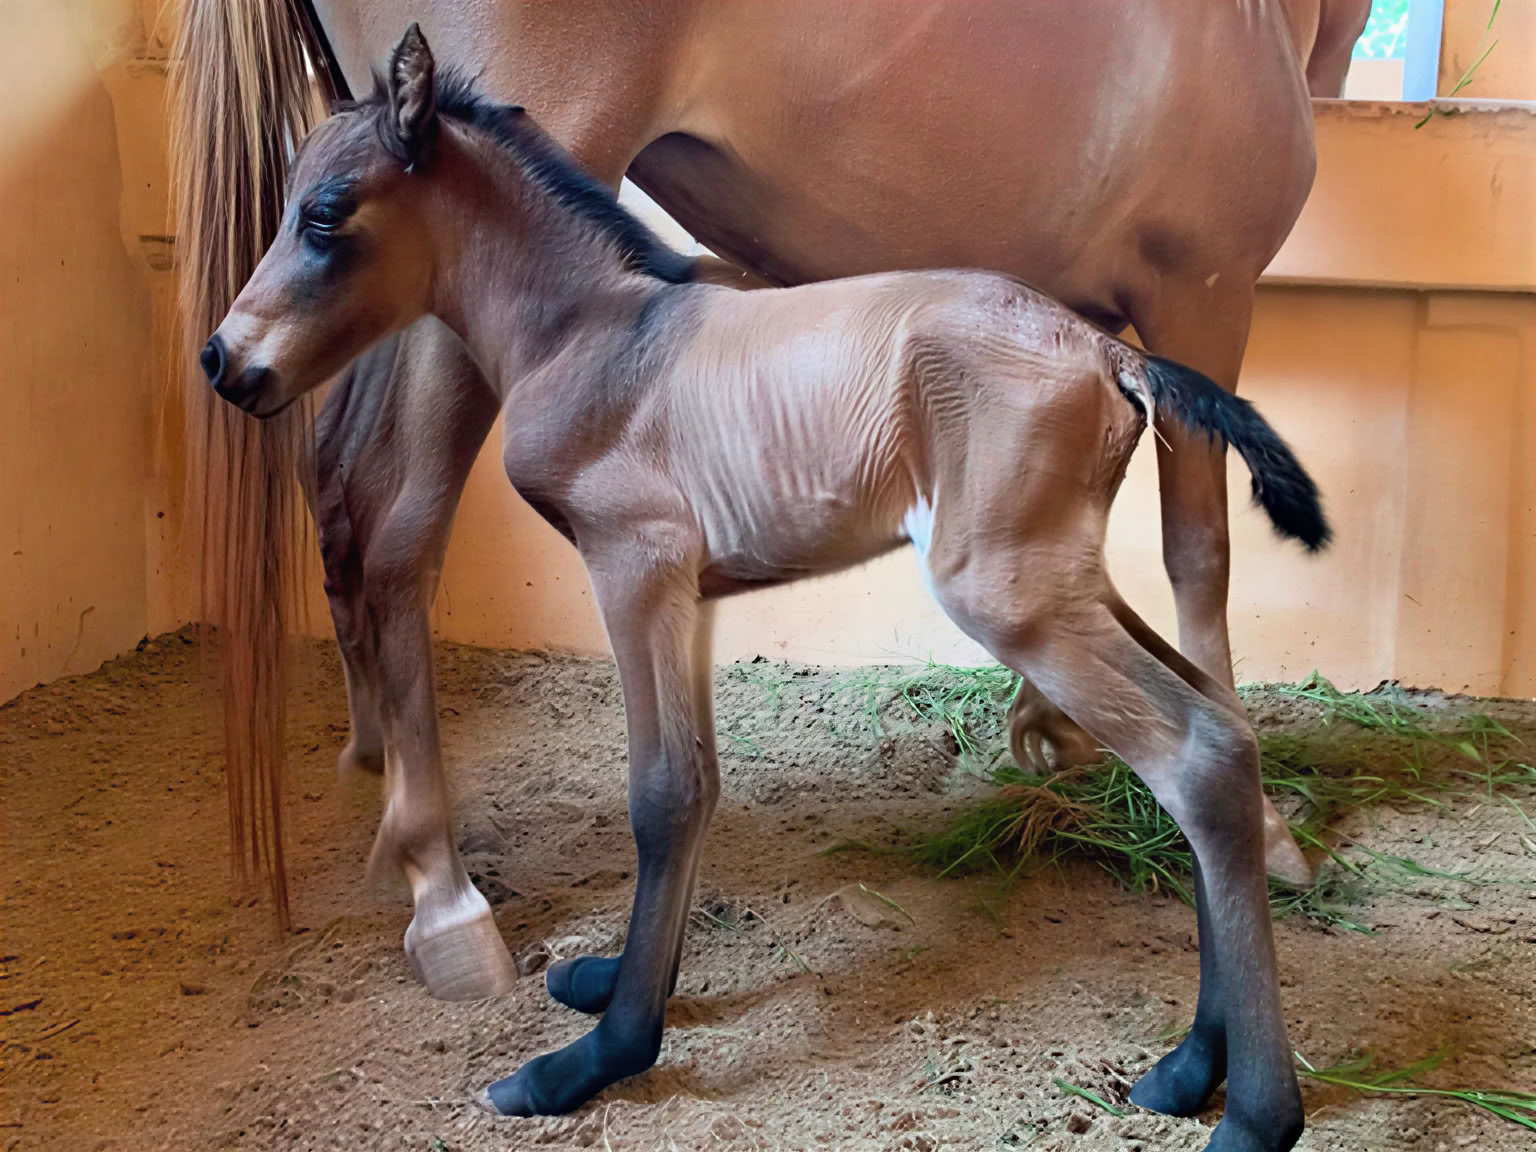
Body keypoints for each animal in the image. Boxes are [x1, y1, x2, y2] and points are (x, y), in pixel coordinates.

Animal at [200, 28, 1330, 1147]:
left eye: (326, 215)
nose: (222, 360)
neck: (599, 333)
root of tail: (1108, 355)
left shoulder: (633, 564)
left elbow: (662, 793)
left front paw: (600, 1055)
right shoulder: (691, 592)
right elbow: (699, 784)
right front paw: (621, 982)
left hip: (1008, 593)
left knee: (1196, 755)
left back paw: (1255, 1111)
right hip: (1063, 579)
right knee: (1224, 725)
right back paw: (1190, 1065)